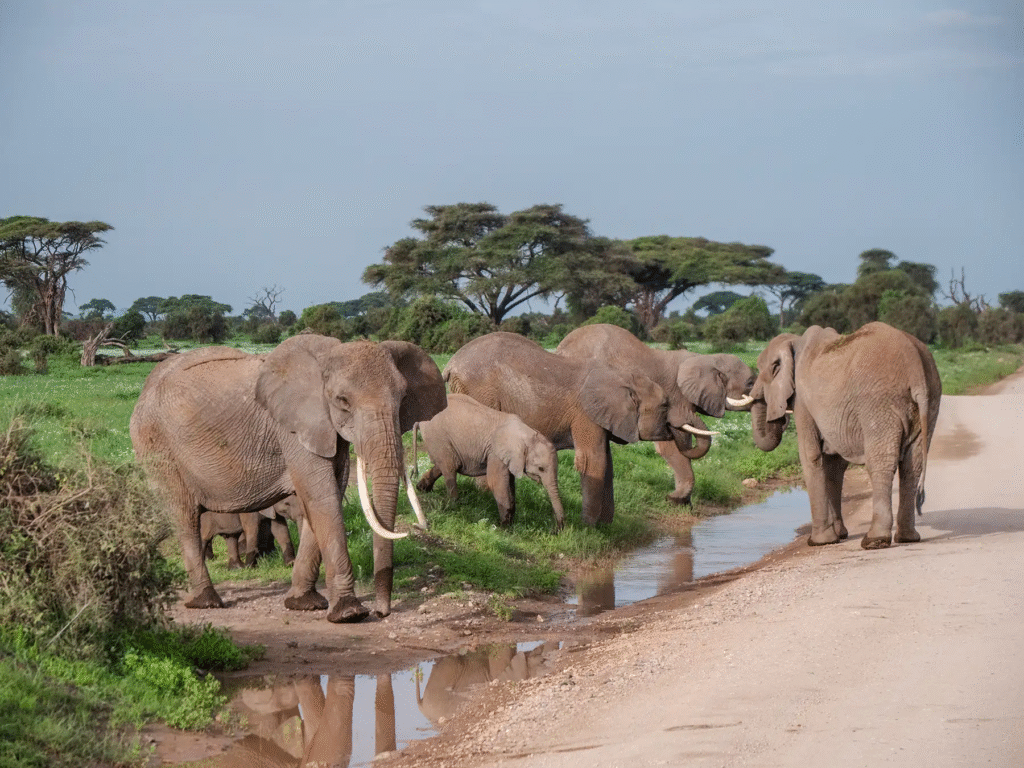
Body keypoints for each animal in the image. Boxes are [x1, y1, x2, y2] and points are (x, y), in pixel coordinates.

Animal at [130, 334, 446, 622]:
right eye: (342, 401)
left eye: (403, 399)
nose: (382, 612)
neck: (328, 354)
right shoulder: (293, 427)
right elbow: (322, 496)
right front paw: (349, 614)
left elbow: (328, 492)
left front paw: (303, 604)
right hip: (156, 444)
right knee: (184, 516)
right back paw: (206, 602)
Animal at [412, 393, 565, 531]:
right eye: (541, 468)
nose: (557, 530)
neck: (528, 434)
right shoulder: (495, 453)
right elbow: (497, 483)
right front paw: (504, 528)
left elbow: (510, 484)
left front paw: (509, 524)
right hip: (437, 435)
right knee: (449, 468)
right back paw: (453, 505)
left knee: (445, 465)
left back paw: (422, 488)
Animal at [443, 331, 680, 525]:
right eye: (665, 405)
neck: (623, 377)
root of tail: (451, 363)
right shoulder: (586, 414)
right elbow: (592, 460)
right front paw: (590, 528)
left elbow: (607, 462)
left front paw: (605, 526)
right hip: (480, 392)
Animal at [749, 322, 941, 549]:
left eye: (765, 372)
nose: (781, 418)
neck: (794, 342)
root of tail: (914, 364)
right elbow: (834, 464)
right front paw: (839, 535)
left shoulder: (803, 402)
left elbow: (811, 457)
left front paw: (818, 542)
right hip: (930, 400)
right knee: (913, 465)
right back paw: (907, 538)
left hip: (878, 403)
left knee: (880, 463)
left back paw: (874, 541)